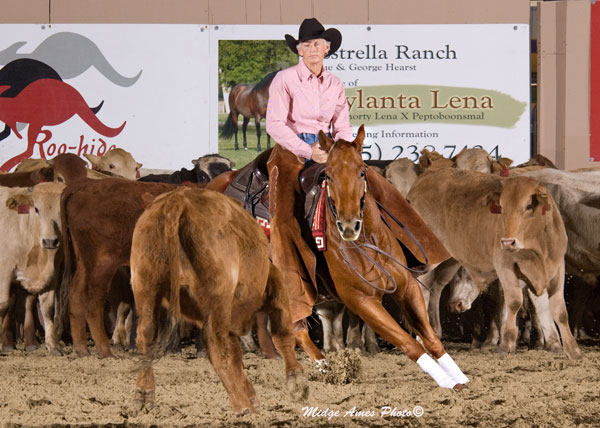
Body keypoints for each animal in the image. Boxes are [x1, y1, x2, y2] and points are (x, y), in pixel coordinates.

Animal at [0, 182, 65, 355]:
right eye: (36, 209)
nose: (50, 241)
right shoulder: (4, 271)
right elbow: (3, 306)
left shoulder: (52, 274)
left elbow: (48, 308)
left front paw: (53, 345)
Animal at [131, 187, 308, 414]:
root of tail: (177, 200)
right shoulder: (274, 282)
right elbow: (282, 333)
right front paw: (297, 383)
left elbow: (236, 354)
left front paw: (250, 393)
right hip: (218, 296)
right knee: (214, 343)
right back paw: (241, 405)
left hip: (146, 286)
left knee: (146, 335)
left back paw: (144, 394)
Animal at [407, 168, 582, 359]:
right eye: (502, 208)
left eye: (528, 206)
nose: (507, 242)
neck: (536, 247)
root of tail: (424, 179)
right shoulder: (504, 266)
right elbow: (513, 302)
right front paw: (507, 345)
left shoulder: (555, 268)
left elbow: (554, 309)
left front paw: (566, 347)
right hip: (426, 255)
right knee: (423, 289)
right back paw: (421, 339)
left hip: (449, 260)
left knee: (436, 288)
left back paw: (435, 333)